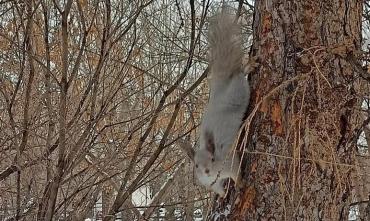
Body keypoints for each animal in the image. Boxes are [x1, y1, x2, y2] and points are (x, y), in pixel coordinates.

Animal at [194, 10, 254, 197]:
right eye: (195, 165)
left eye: (213, 159)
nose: (206, 171)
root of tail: (220, 87)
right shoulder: (211, 184)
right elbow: (219, 189)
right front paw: (223, 194)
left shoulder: (228, 164)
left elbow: (235, 172)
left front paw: (240, 183)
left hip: (238, 92)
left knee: (239, 75)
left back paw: (247, 67)